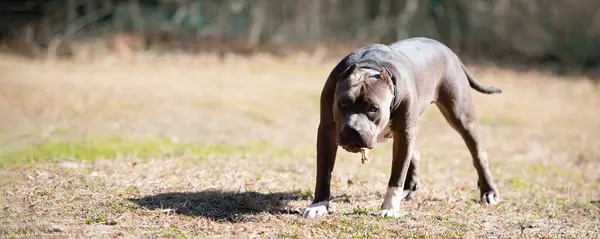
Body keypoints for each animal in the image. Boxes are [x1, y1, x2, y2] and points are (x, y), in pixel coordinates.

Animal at [304, 37, 502, 218]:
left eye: (373, 108)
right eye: (342, 104)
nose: (353, 130)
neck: (368, 67)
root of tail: (449, 51)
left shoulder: (404, 132)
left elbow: (397, 175)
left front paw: (390, 208)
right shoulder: (327, 130)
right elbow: (324, 172)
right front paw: (318, 205)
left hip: (460, 116)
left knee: (478, 153)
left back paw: (489, 192)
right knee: (415, 153)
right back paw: (409, 189)